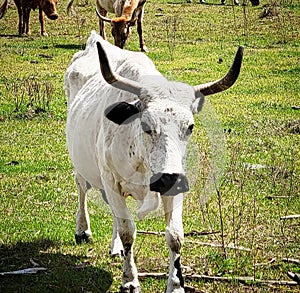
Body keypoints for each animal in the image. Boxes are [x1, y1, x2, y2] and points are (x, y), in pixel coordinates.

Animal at [65, 30, 244, 290]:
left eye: (190, 126)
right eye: (146, 125)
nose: (167, 179)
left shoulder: (176, 184)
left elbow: (175, 235)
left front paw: (176, 284)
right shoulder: (111, 181)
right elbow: (128, 230)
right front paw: (129, 280)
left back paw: (115, 247)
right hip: (81, 163)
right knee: (82, 188)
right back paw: (82, 230)